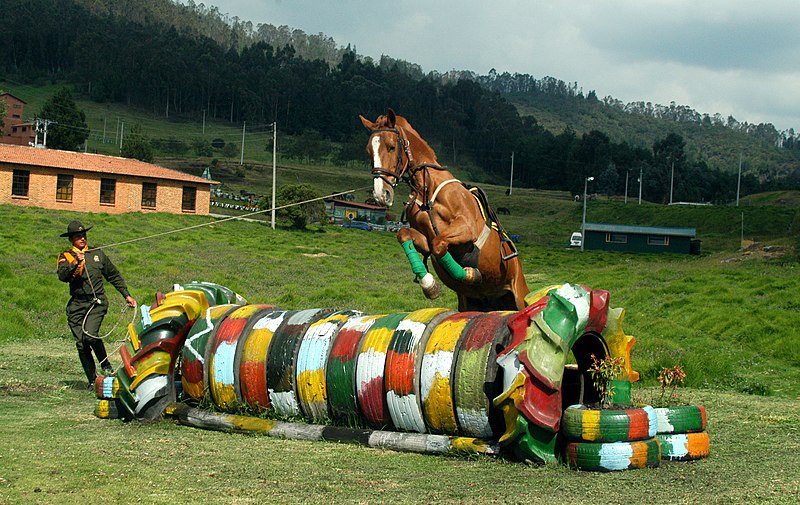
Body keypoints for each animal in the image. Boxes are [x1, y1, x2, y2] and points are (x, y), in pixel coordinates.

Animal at [360, 109, 528, 312]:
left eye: (392, 147)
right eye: (369, 151)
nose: (380, 194)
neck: (426, 187)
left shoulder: (467, 228)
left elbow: (439, 243)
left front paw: (470, 274)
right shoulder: (425, 239)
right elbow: (407, 236)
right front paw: (429, 284)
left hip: (519, 297)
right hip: (470, 304)